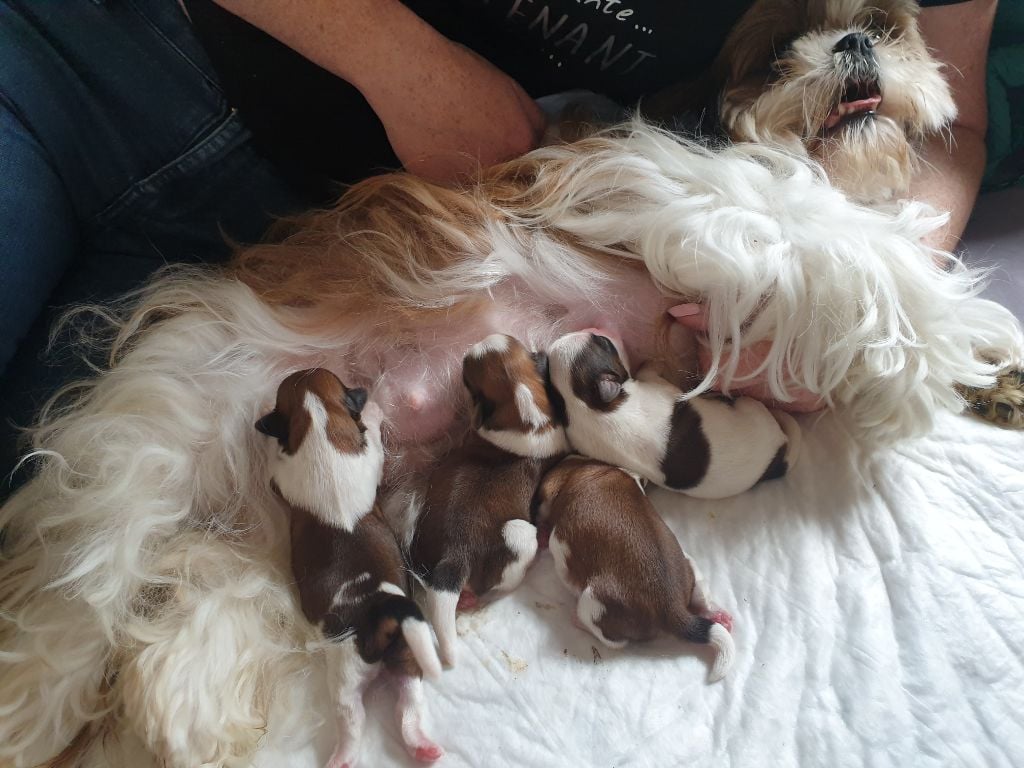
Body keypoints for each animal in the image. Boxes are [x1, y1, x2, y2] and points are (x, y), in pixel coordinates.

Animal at [254, 370, 440, 765]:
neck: (319, 424)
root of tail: (379, 612)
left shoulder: (282, 474)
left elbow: (273, 462)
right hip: (406, 656)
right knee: (407, 707)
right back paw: (421, 747)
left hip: (349, 673)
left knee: (354, 719)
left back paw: (344, 756)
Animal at [536, 454, 737, 684]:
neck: (583, 470)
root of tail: (673, 609)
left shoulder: (559, 540)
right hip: (690, 565)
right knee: (702, 599)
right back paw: (716, 615)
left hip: (591, 602)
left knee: (614, 641)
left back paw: (579, 622)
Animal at [548, 331, 802, 499]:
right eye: (604, 343)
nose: (609, 332)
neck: (582, 403)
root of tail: (779, 458)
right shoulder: (657, 386)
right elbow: (650, 371)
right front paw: (653, 360)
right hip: (753, 408)